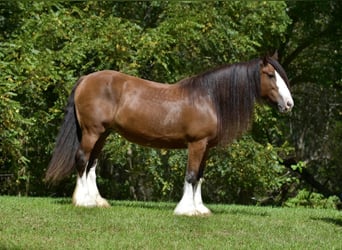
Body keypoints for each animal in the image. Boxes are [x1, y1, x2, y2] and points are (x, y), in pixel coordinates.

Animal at [46, 53, 294, 216]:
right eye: (270, 75)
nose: (289, 104)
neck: (208, 98)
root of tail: (85, 79)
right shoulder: (196, 144)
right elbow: (191, 175)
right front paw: (186, 210)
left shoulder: (206, 148)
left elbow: (200, 177)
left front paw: (201, 208)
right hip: (92, 132)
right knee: (82, 160)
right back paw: (83, 201)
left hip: (103, 134)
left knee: (92, 164)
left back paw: (97, 201)